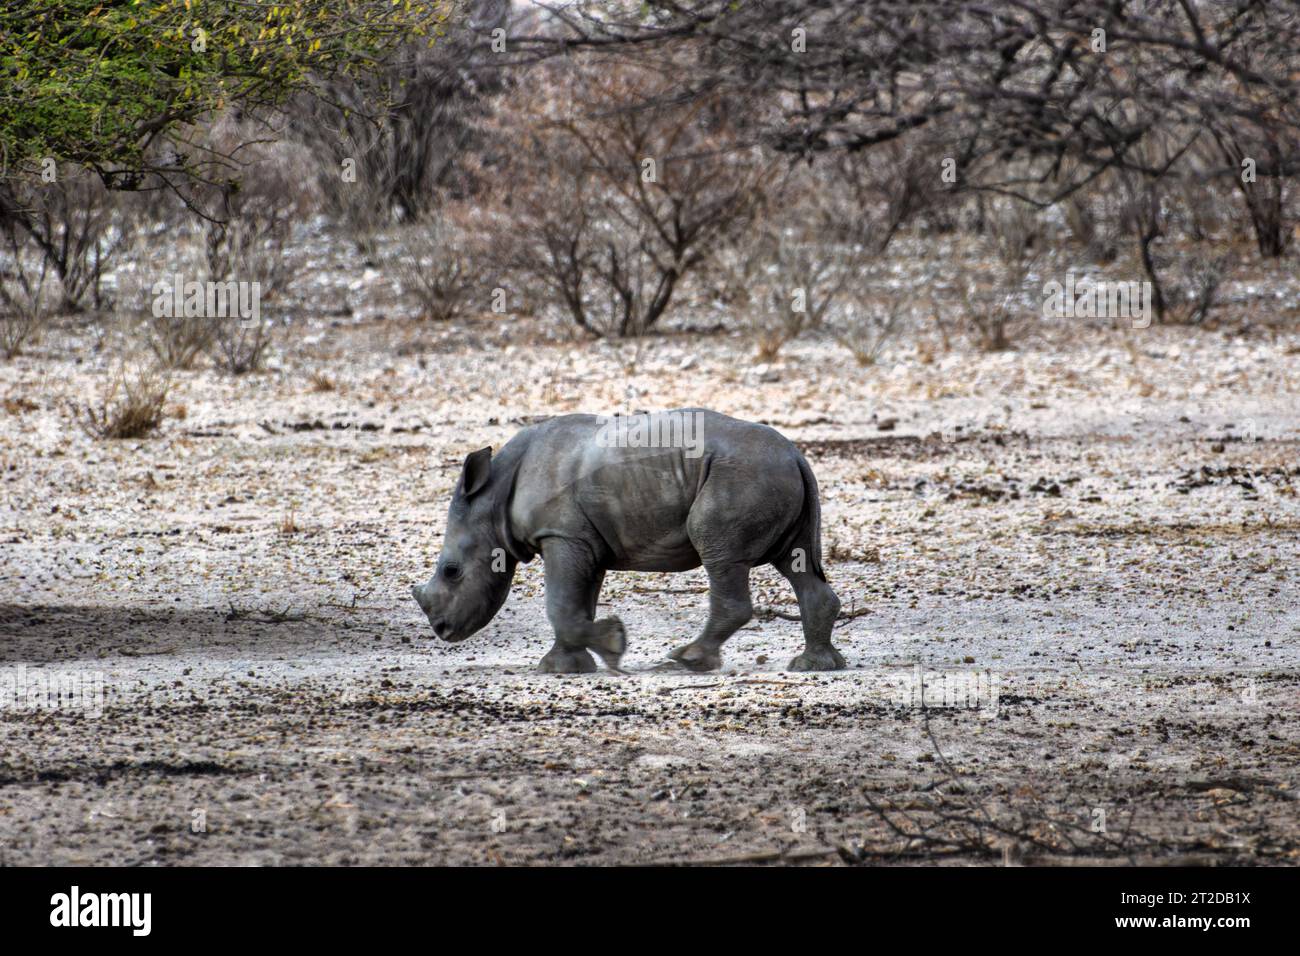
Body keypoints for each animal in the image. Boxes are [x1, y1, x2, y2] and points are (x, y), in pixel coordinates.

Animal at [410, 408, 847, 671]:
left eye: (451, 571)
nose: (442, 630)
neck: (494, 497)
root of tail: (796, 455)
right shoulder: (584, 542)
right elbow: (576, 605)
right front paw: (564, 667)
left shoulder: (562, 535)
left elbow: (561, 606)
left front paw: (613, 645)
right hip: (768, 475)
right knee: (795, 560)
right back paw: (815, 666)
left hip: (741, 476)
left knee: (719, 552)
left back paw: (686, 660)